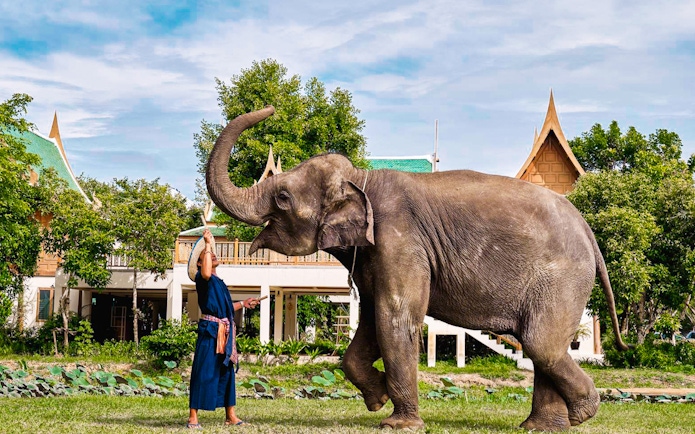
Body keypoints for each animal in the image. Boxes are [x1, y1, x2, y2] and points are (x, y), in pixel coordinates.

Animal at [206, 106, 628, 431]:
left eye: (282, 197)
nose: (272, 111)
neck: (362, 179)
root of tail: (588, 229)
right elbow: (372, 320)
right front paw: (377, 400)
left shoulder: (400, 240)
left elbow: (395, 317)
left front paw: (396, 424)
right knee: (542, 345)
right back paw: (540, 427)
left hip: (562, 277)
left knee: (541, 343)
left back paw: (584, 412)